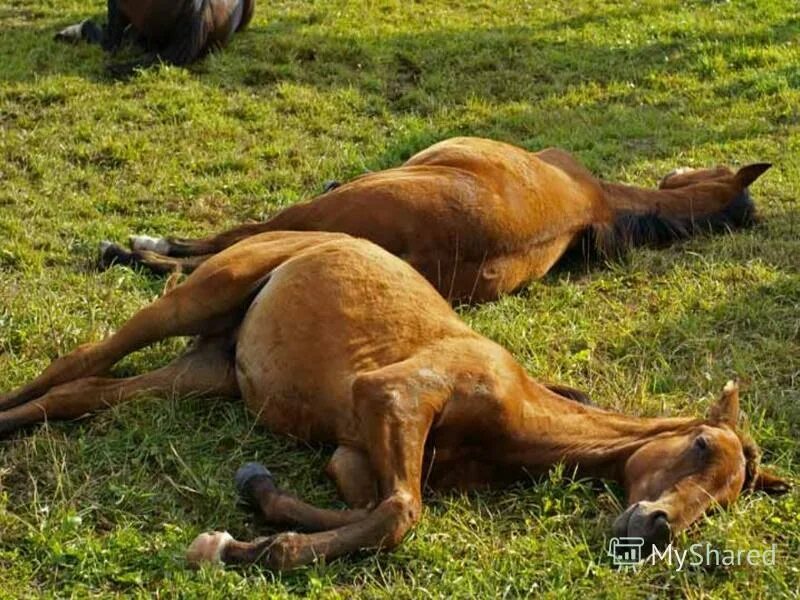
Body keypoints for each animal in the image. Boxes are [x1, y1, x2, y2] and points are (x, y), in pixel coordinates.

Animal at [0, 232, 788, 568]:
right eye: (699, 446)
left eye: (726, 501)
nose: (654, 529)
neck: (520, 417)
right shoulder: (395, 394)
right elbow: (401, 513)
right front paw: (243, 547)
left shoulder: (352, 453)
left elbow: (374, 506)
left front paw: (252, 515)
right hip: (201, 295)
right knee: (80, 360)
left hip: (206, 370)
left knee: (86, 391)